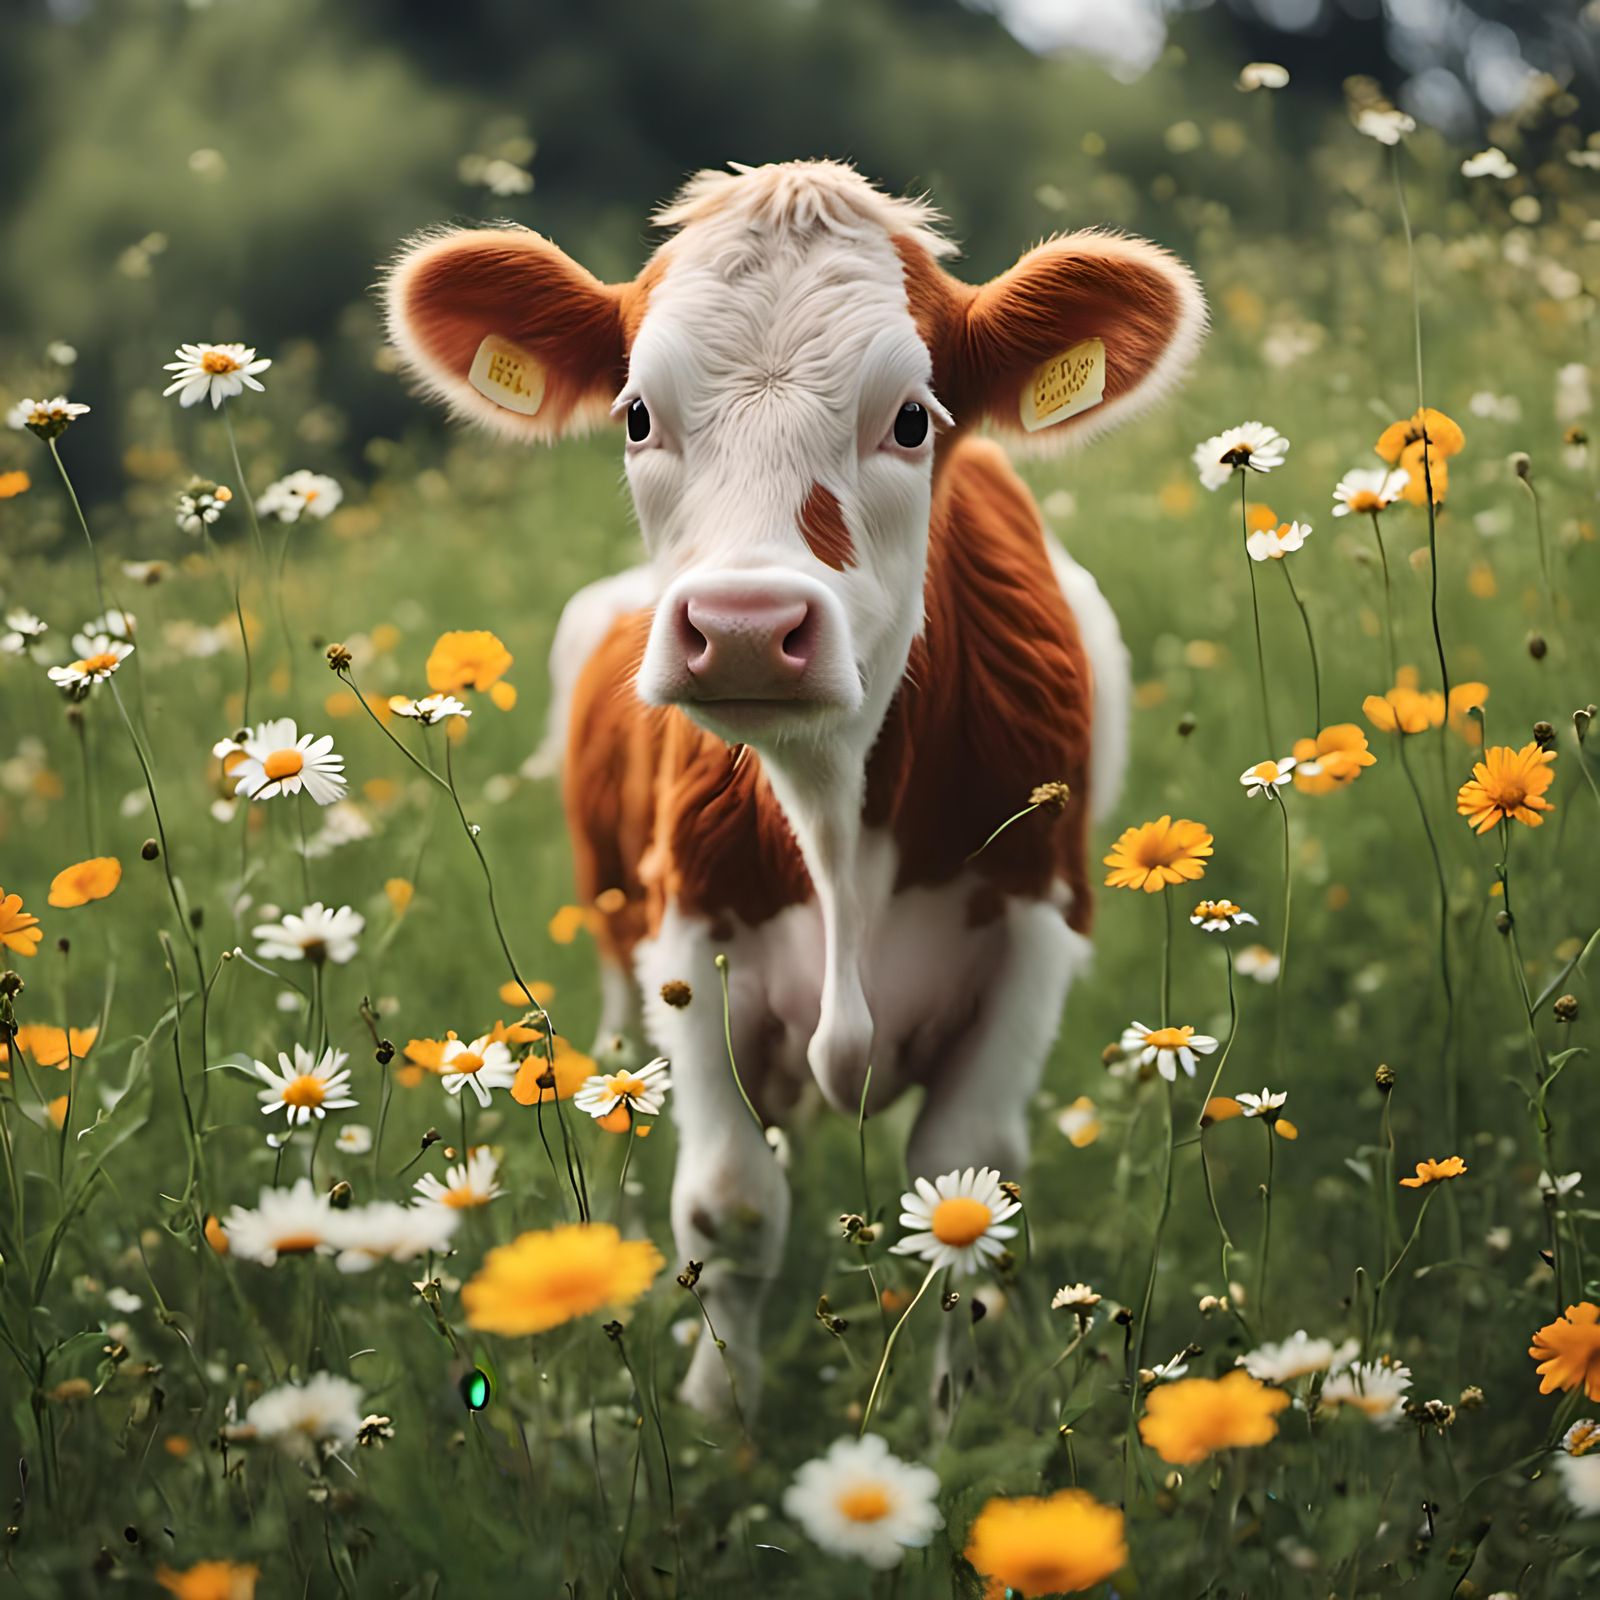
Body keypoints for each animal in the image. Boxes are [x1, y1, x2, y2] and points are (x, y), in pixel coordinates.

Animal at [384, 160, 1204, 1410]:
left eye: (912, 418)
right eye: (637, 413)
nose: (743, 626)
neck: (831, 809)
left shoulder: (1037, 931)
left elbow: (963, 1188)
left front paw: (953, 1418)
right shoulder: (687, 937)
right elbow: (728, 1206)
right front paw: (716, 1418)